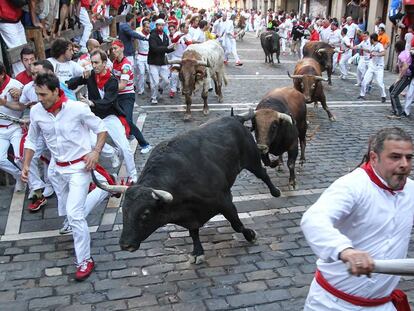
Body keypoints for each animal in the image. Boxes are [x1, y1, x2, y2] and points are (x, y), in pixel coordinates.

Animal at [93, 116, 282, 264]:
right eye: (124, 210)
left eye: (145, 213)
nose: (125, 245)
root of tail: (235, 118)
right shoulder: (190, 216)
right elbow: (193, 232)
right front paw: (197, 252)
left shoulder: (225, 201)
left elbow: (236, 224)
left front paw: (250, 234)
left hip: (252, 159)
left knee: (263, 174)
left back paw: (276, 192)